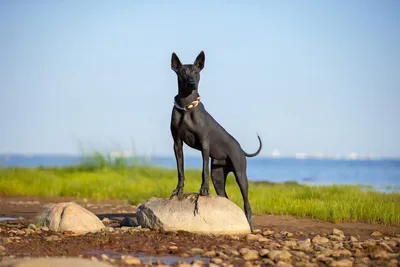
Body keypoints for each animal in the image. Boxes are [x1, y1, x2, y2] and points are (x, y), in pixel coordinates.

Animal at [169, 51, 262, 231]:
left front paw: (204, 190)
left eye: (196, 72)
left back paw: (250, 226)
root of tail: (241, 149)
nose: (192, 83)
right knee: (225, 197)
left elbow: (203, 169)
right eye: (183, 72)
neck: (186, 107)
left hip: (241, 174)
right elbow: (180, 170)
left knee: (247, 203)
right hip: (218, 176)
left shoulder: (204, 144)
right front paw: (178, 190)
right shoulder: (177, 143)